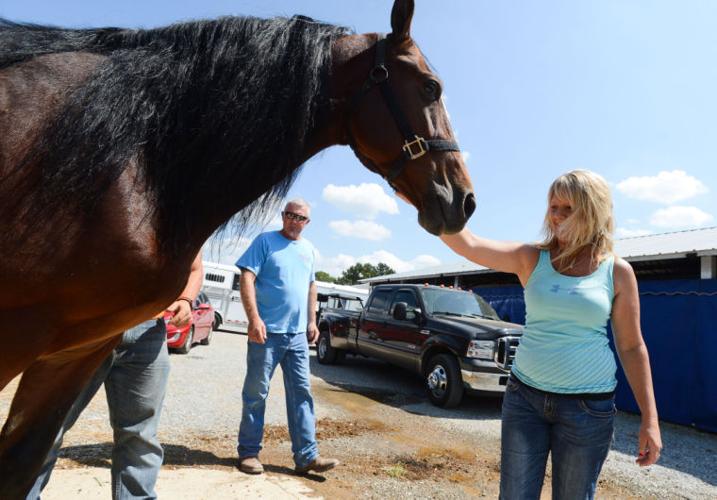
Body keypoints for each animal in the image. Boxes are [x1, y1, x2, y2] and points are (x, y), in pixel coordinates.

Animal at [0, 0, 474, 495]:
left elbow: (21, 462)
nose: (465, 200)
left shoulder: (76, 351)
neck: (133, 159)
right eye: (430, 86)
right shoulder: (21, 331)